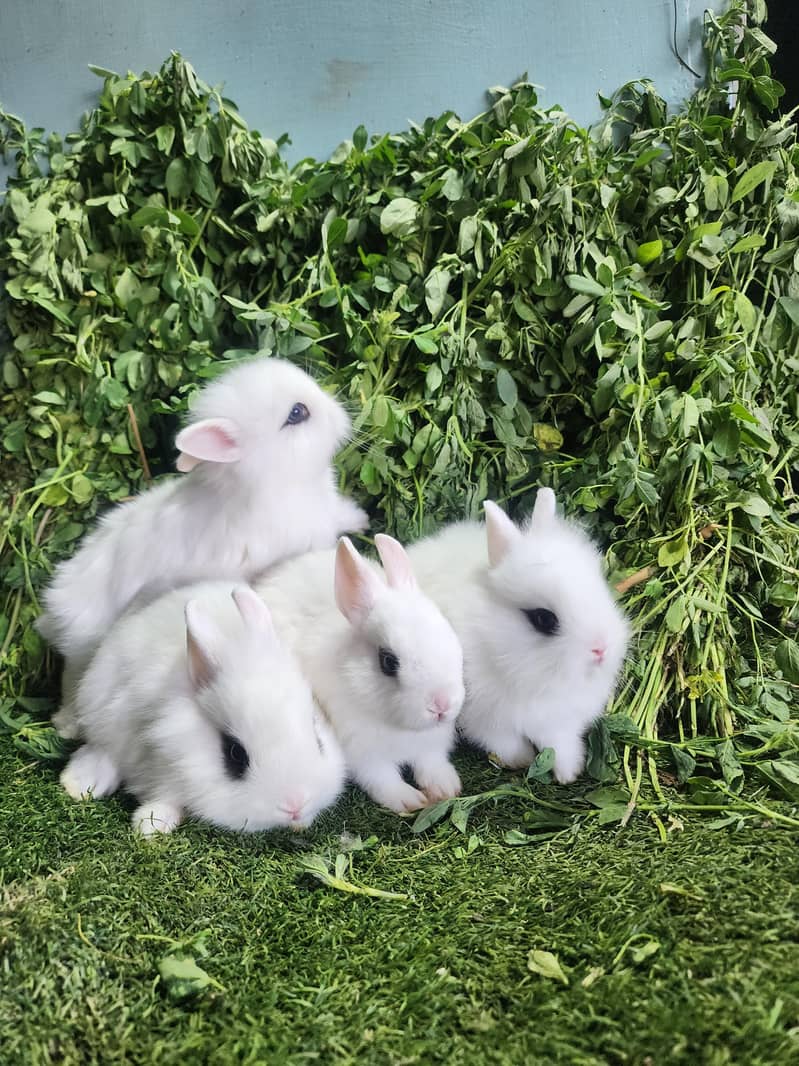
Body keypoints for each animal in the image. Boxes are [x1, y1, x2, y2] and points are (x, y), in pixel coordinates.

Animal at [38, 355, 368, 737]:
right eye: (296, 413)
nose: (338, 410)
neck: (270, 483)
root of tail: (58, 608)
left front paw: (361, 518)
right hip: (83, 654)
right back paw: (66, 725)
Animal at [60, 582, 346, 835]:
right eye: (235, 754)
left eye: (318, 739)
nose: (295, 805)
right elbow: (165, 797)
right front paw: (151, 827)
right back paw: (78, 783)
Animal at [255, 535, 466, 813]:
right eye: (388, 661)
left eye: (449, 632)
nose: (441, 705)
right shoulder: (365, 757)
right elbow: (383, 779)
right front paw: (409, 800)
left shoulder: (430, 746)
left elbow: (432, 763)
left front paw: (445, 788)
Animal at [406, 488, 630, 784]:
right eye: (544, 619)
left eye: (600, 588)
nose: (602, 648)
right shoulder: (487, 720)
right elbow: (507, 743)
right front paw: (522, 760)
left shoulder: (560, 720)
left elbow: (561, 744)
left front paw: (569, 773)